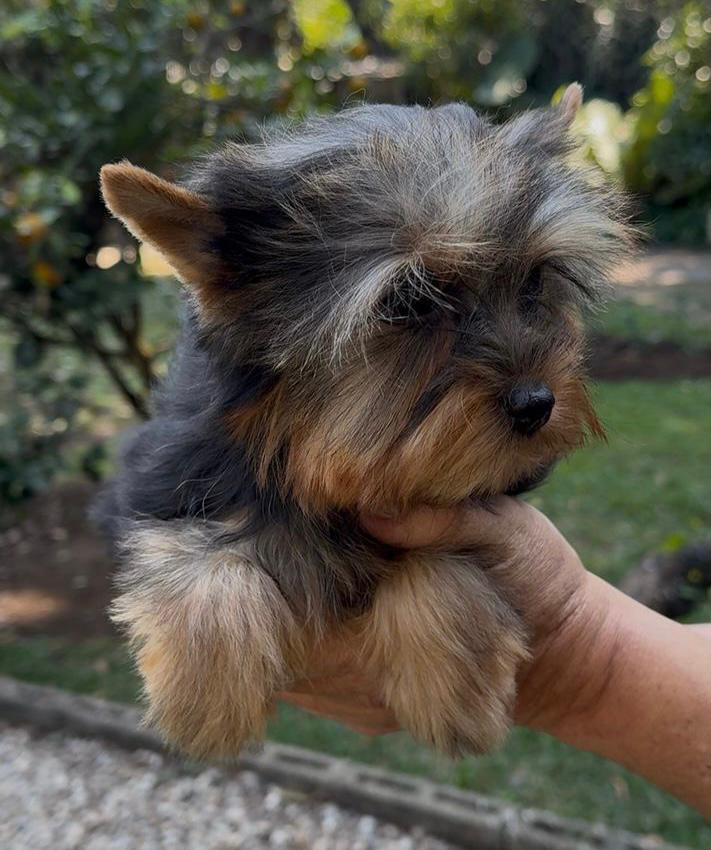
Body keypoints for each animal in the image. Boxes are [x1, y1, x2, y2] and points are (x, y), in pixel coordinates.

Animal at [97, 84, 631, 759]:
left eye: (535, 280)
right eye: (411, 300)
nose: (537, 402)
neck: (310, 458)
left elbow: (441, 552)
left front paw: (455, 692)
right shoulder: (160, 481)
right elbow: (196, 549)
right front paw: (205, 698)